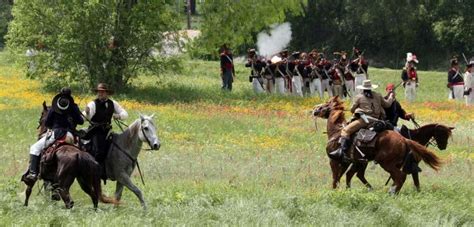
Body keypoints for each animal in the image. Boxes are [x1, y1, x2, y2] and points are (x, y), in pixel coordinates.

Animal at [312, 96, 442, 194]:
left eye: (325, 104)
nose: (314, 109)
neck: (336, 131)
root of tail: (404, 140)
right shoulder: (347, 161)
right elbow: (342, 176)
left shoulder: (334, 161)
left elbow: (335, 177)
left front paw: (335, 192)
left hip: (386, 163)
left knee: (400, 176)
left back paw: (391, 192)